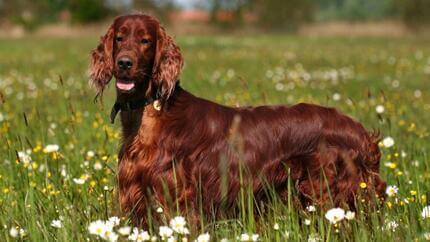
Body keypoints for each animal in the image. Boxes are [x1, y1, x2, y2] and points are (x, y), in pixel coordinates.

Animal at [90, 13, 386, 225]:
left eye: (146, 41)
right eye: (119, 38)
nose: (124, 63)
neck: (151, 112)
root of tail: (362, 133)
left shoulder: (175, 197)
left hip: (330, 193)